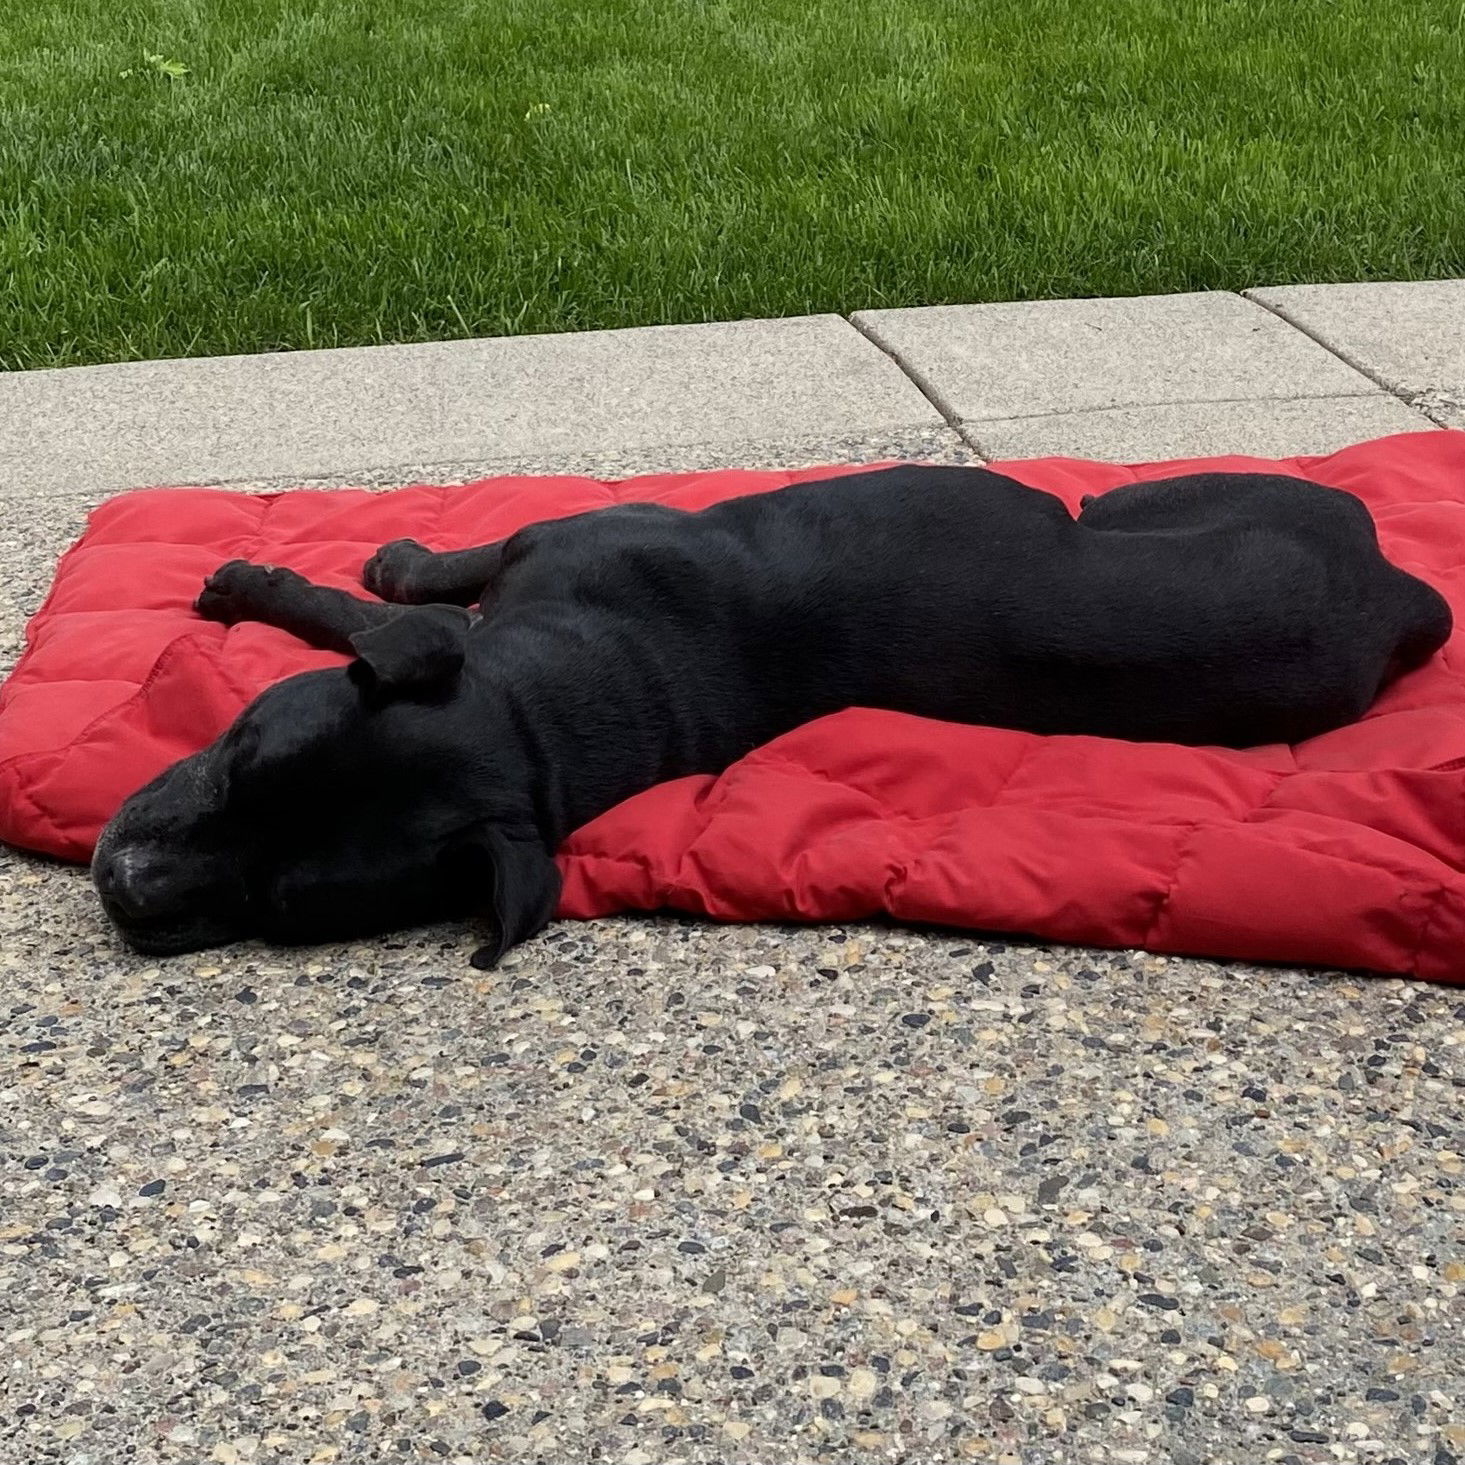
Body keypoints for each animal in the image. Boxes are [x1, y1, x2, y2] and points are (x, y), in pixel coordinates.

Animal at [94, 465, 1453, 961]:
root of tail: (1401, 591)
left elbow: (386, 590)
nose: (121, 884)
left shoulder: (537, 544)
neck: (539, 707)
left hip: (1144, 502)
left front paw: (302, 575)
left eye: (283, 908)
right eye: (235, 757)